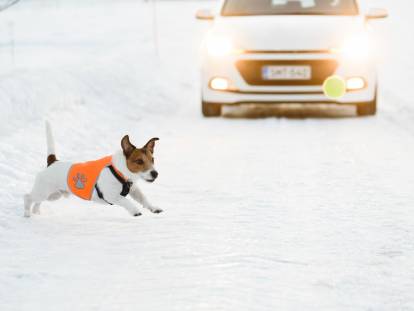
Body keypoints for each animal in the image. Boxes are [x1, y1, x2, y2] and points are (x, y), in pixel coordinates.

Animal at [22, 120, 162, 218]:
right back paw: (27, 213)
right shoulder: (111, 196)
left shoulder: (134, 190)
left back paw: (36, 211)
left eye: (152, 160)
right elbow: (126, 201)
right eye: (139, 161)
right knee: (28, 197)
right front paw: (135, 210)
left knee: (38, 201)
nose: (155, 174)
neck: (119, 170)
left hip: (54, 195)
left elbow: (143, 198)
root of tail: (53, 162)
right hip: (43, 191)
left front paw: (153, 208)